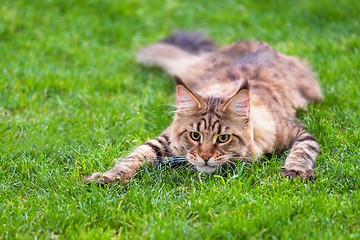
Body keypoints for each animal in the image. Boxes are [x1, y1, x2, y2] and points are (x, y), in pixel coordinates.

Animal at [85, 31, 324, 186]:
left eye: (223, 138)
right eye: (195, 135)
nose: (205, 157)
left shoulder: (298, 132)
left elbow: (302, 151)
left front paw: (295, 171)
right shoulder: (163, 140)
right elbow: (134, 156)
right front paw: (109, 177)